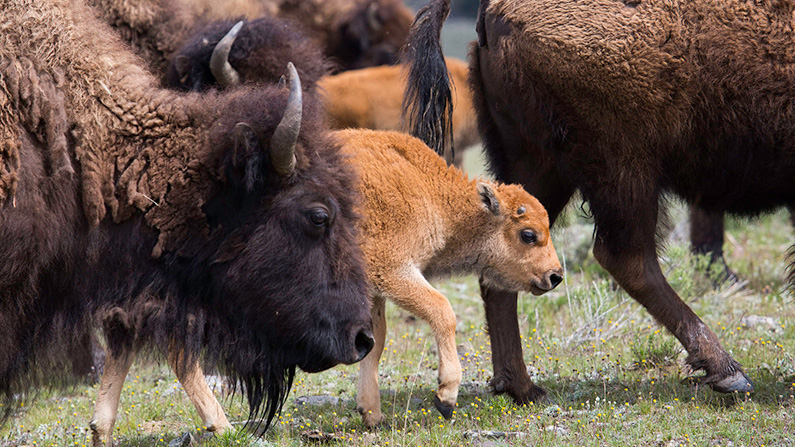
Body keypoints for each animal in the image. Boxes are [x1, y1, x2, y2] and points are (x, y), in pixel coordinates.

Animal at [404, 0, 795, 402]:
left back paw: (523, 388)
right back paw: (729, 372)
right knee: (629, 258)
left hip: (542, 167)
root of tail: (492, 8)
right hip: (624, 167)